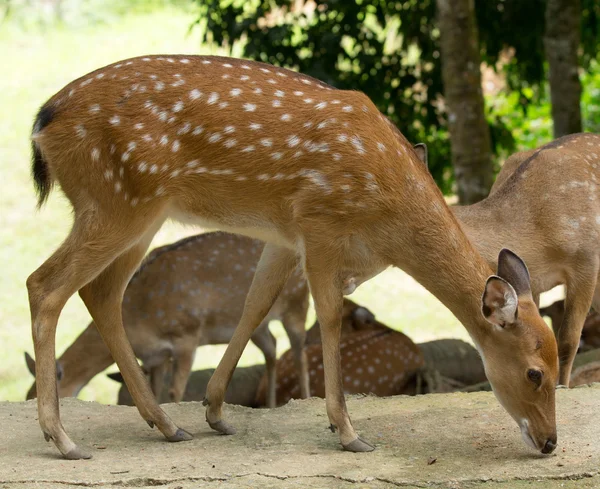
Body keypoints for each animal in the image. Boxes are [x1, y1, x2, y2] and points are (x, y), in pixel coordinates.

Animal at [24, 231, 310, 406]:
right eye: (28, 394)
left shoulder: (187, 336)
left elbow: (175, 390)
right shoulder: (156, 355)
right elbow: (155, 390)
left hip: (297, 303)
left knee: (298, 349)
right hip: (260, 325)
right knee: (272, 346)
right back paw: (270, 406)